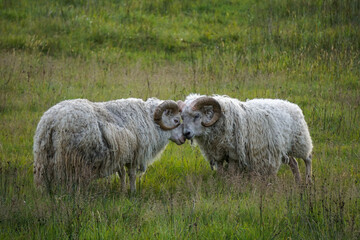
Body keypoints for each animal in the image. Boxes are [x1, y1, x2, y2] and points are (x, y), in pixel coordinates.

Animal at [32, 97, 186, 193]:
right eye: (176, 120)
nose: (184, 138)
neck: (150, 120)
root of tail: (51, 121)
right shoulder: (135, 154)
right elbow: (131, 175)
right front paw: (133, 192)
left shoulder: (121, 154)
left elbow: (122, 174)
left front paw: (123, 192)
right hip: (72, 159)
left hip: (44, 159)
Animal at [179, 94, 314, 184]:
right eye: (182, 117)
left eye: (197, 115)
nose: (186, 133)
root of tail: (293, 105)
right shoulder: (218, 154)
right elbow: (221, 172)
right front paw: (221, 183)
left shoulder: (233, 154)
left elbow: (231, 172)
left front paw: (230, 185)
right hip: (285, 147)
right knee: (294, 163)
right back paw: (298, 182)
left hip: (300, 141)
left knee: (308, 158)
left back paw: (308, 182)